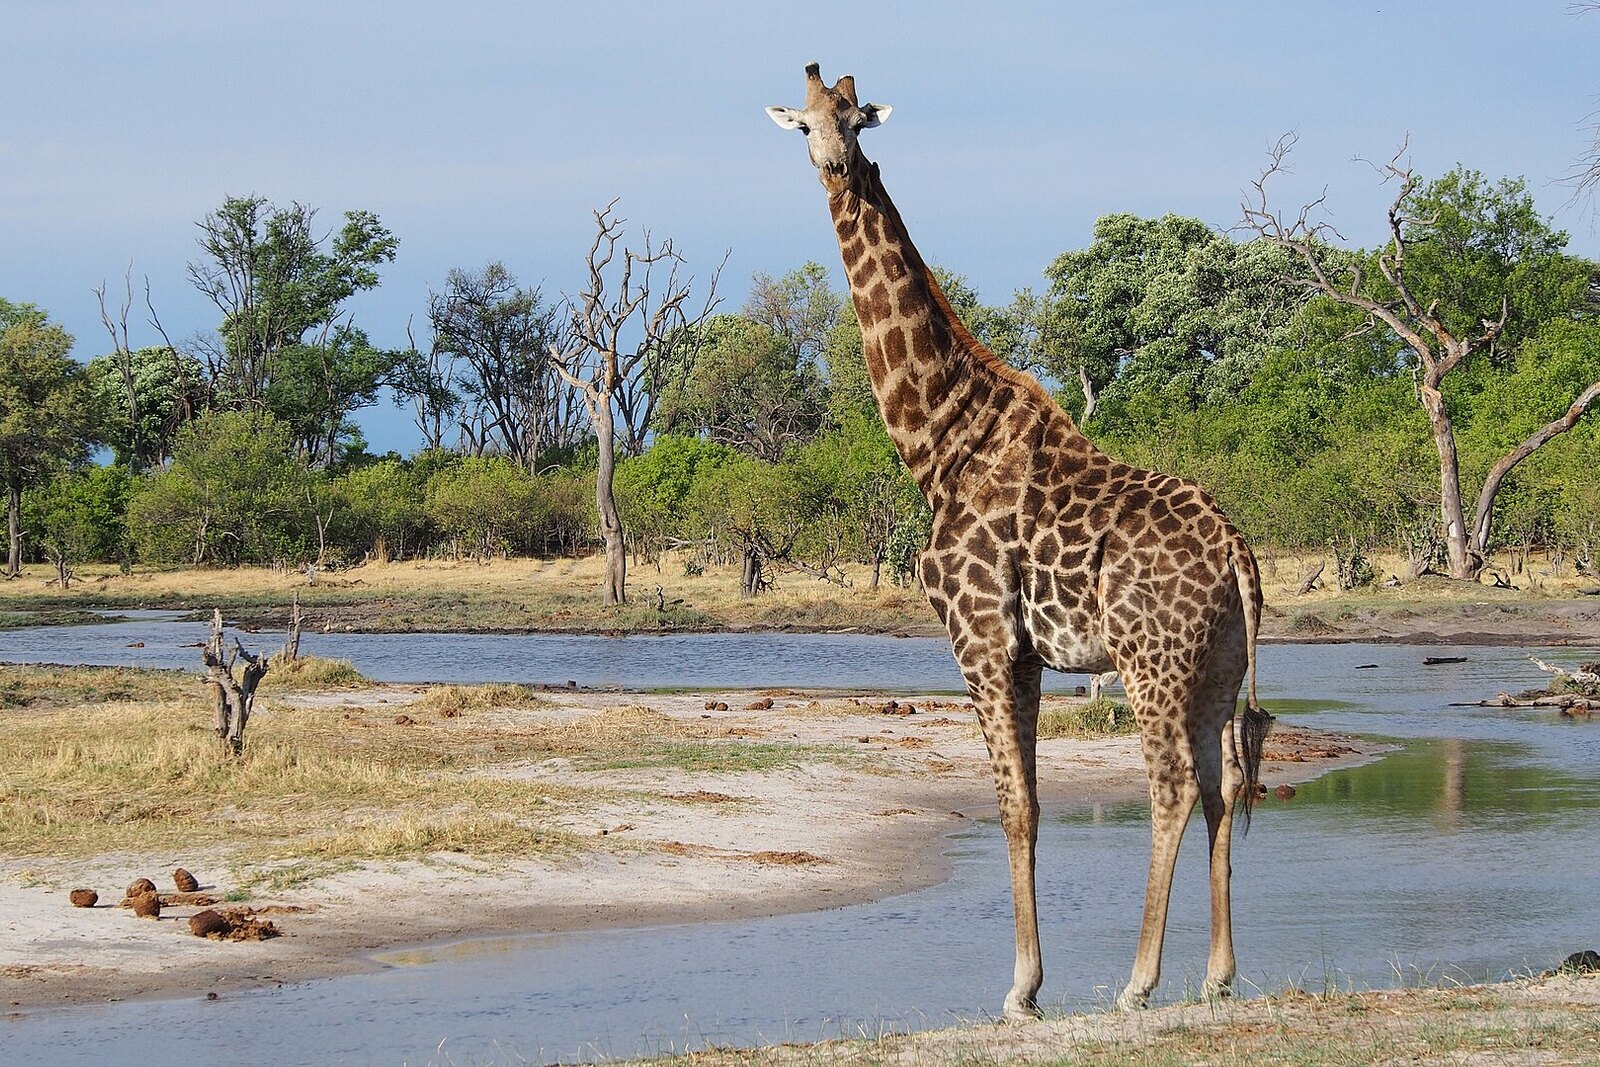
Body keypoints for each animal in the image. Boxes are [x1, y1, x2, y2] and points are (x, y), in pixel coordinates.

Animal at [767, 64, 1273, 1018]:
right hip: (1219, 662)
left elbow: (1013, 806)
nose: (838, 166)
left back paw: (1139, 980)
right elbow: (1030, 804)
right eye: (804, 125)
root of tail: (1236, 550)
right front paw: (1031, 981)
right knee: (1224, 784)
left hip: (1150, 659)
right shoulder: (1028, 653)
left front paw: (1022, 987)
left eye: (854, 119)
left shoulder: (980, 640)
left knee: (1171, 785)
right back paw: (1220, 974)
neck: (938, 440)